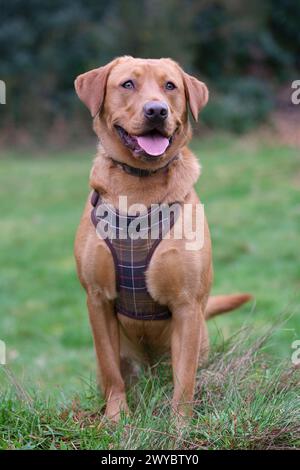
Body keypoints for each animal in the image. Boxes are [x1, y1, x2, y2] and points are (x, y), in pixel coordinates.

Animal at [73, 56, 251, 422]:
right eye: (127, 84)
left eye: (170, 86)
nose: (157, 111)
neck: (139, 188)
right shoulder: (97, 298)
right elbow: (112, 372)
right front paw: (116, 418)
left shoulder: (187, 305)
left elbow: (184, 382)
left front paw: (180, 427)